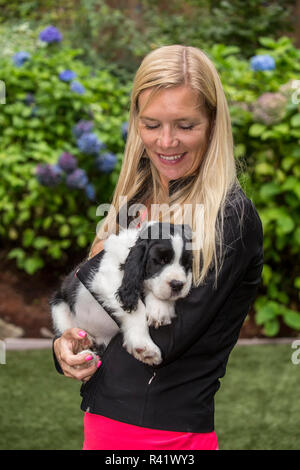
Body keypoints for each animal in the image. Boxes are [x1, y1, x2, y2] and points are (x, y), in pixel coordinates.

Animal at [50, 222, 193, 366]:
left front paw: (159, 309)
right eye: (162, 260)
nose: (178, 285)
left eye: (186, 264)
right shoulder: (107, 279)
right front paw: (144, 347)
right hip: (59, 308)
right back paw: (85, 357)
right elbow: (137, 310)